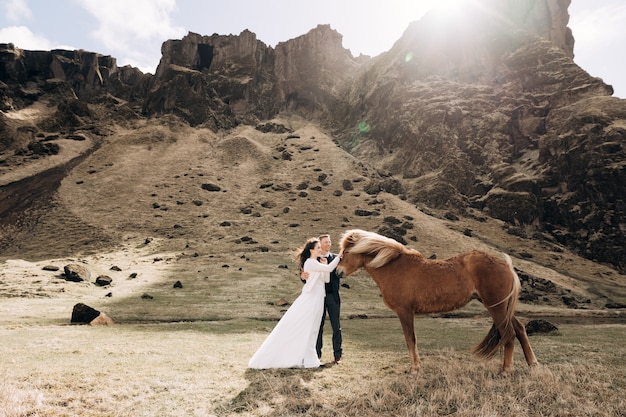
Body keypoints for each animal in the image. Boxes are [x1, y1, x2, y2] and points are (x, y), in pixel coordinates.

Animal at [336, 229, 536, 376]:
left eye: (346, 252)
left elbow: (410, 339)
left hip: (496, 308)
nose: (337, 272)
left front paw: (414, 369)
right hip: (503, 308)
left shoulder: (405, 312)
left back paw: (506, 371)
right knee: (519, 329)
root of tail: (506, 266)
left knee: (509, 334)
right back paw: (532, 364)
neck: (392, 267)